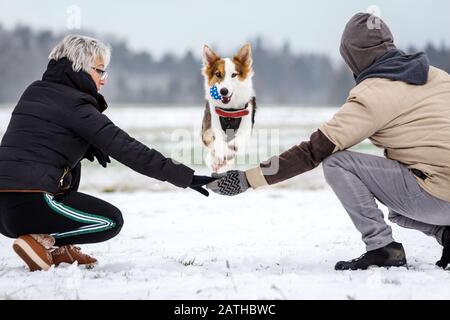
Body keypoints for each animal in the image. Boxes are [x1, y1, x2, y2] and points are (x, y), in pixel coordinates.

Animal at [201, 44, 256, 172]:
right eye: (218, 74)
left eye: (234, 75)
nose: (223, 91)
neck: (230, 111)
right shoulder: (211, 126)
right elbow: (216, 142)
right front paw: (220, 155)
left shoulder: (246, 129)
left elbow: (236, 143)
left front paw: (228, 152)